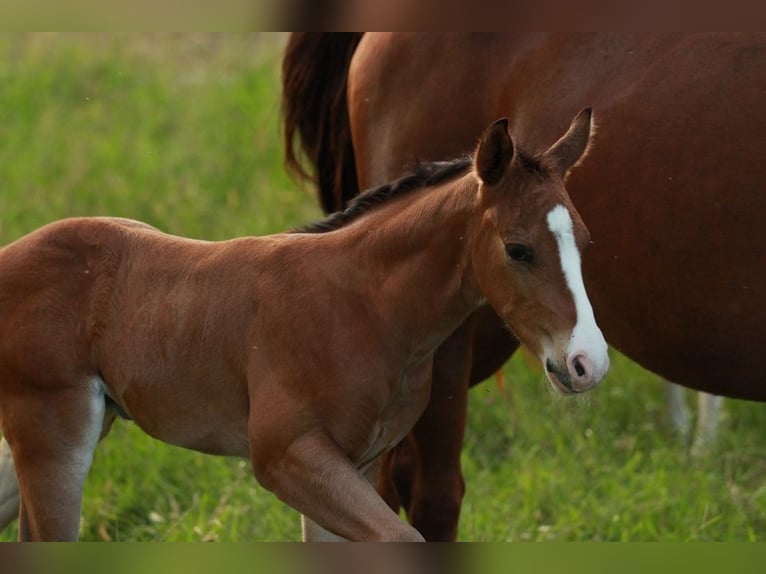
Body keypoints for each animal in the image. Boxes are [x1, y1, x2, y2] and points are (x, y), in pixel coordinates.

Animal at [0, 109, 612, 544]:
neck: (366, 305)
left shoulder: (356, 464)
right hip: (55, 436)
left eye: (584, 240)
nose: (588, 363)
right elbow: (404, 539)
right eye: (518, 249)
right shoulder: (287, 455)